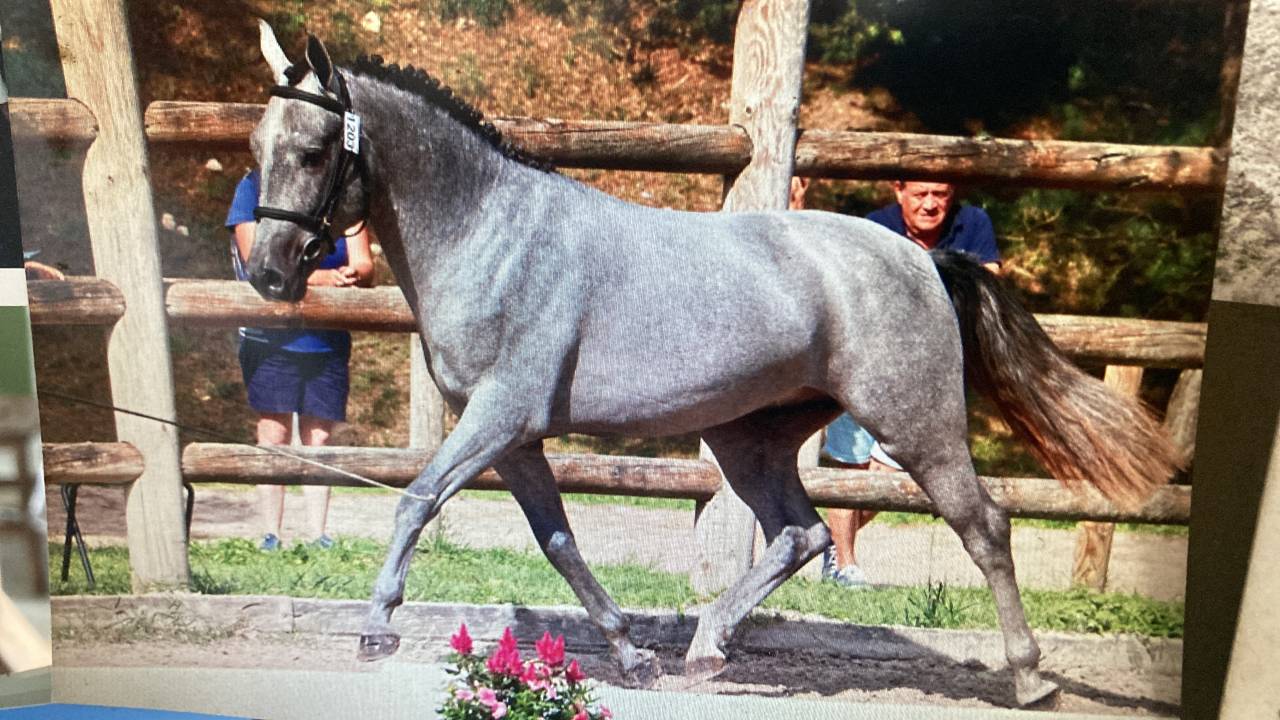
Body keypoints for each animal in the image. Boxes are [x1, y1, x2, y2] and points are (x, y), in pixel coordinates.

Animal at [244, 22, 1182, 707]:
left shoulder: (499, 418)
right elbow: (559, 541)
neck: (495, 232)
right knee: (802, 532)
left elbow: (415, 500)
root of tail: (919, 256)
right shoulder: (518, 439)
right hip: (747, 439)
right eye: (258, 143)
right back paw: (703, 648)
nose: (269, 273)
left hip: (913, 423)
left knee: (982, 525)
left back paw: (1030, 678)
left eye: (315, 151)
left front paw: (375, 627)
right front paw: (631, 656)